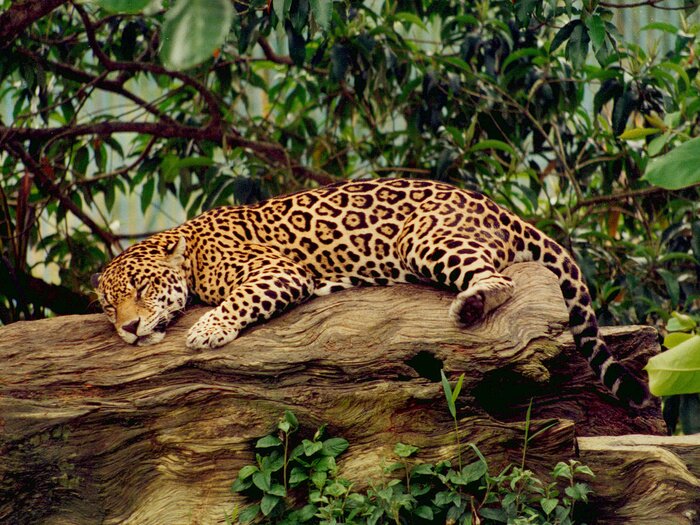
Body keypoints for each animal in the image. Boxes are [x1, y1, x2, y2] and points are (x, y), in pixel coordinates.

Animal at [92, 178, 650, 407]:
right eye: (109, 305)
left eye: (142, 288)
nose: (130, 327)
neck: (192, 253)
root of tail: (494, 205)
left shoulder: (277, 272)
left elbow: (240, 300)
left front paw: (207, 330)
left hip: (424, 239)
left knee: (502, 278)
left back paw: (471, 304)